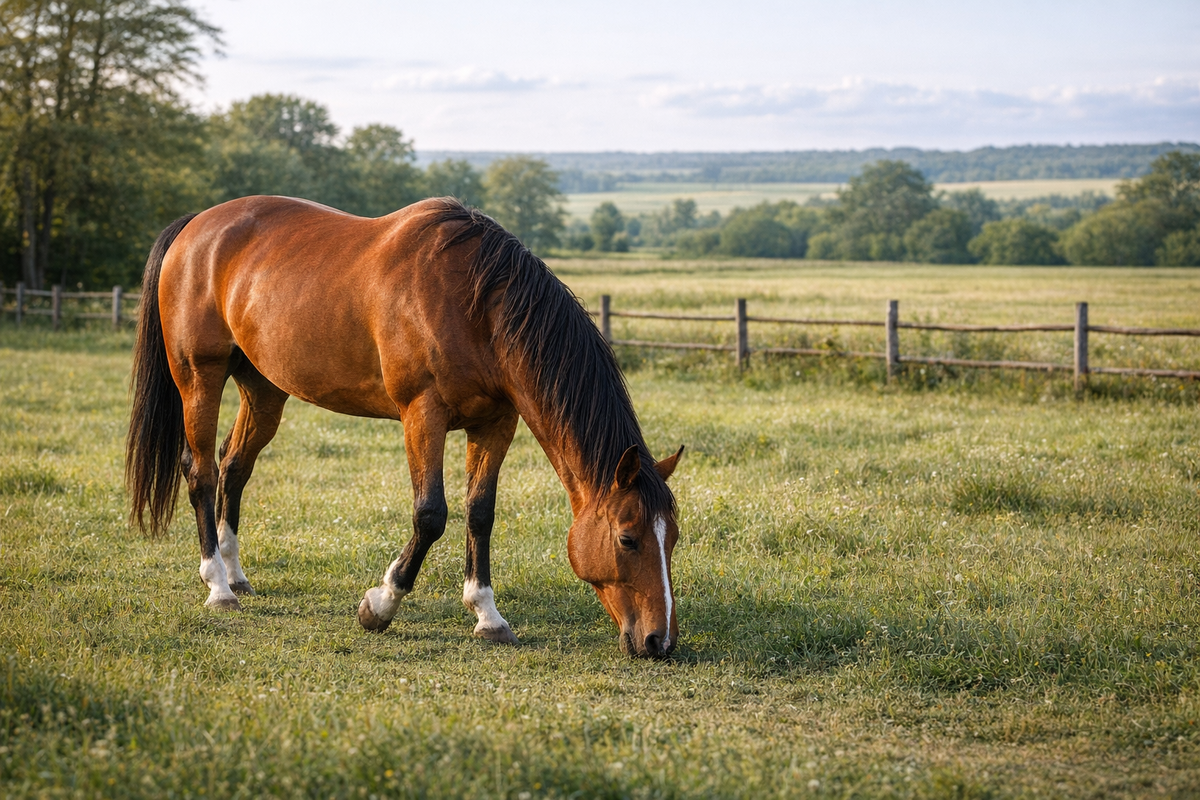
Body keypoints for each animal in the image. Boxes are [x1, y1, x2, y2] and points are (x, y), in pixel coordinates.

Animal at [125, 196, 684, 658]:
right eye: (628, 539)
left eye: (673, 538)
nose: (659, 642)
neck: (477, 305)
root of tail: (196, 225)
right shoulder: (423, 412)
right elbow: (431, 515)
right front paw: (381, 605)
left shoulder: (496, 422)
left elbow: (480, 513)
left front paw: (487, 614)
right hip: (199, 376)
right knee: (201, 472)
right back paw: (218, 586)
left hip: (263, 390)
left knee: (233, 467)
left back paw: (236, 574)